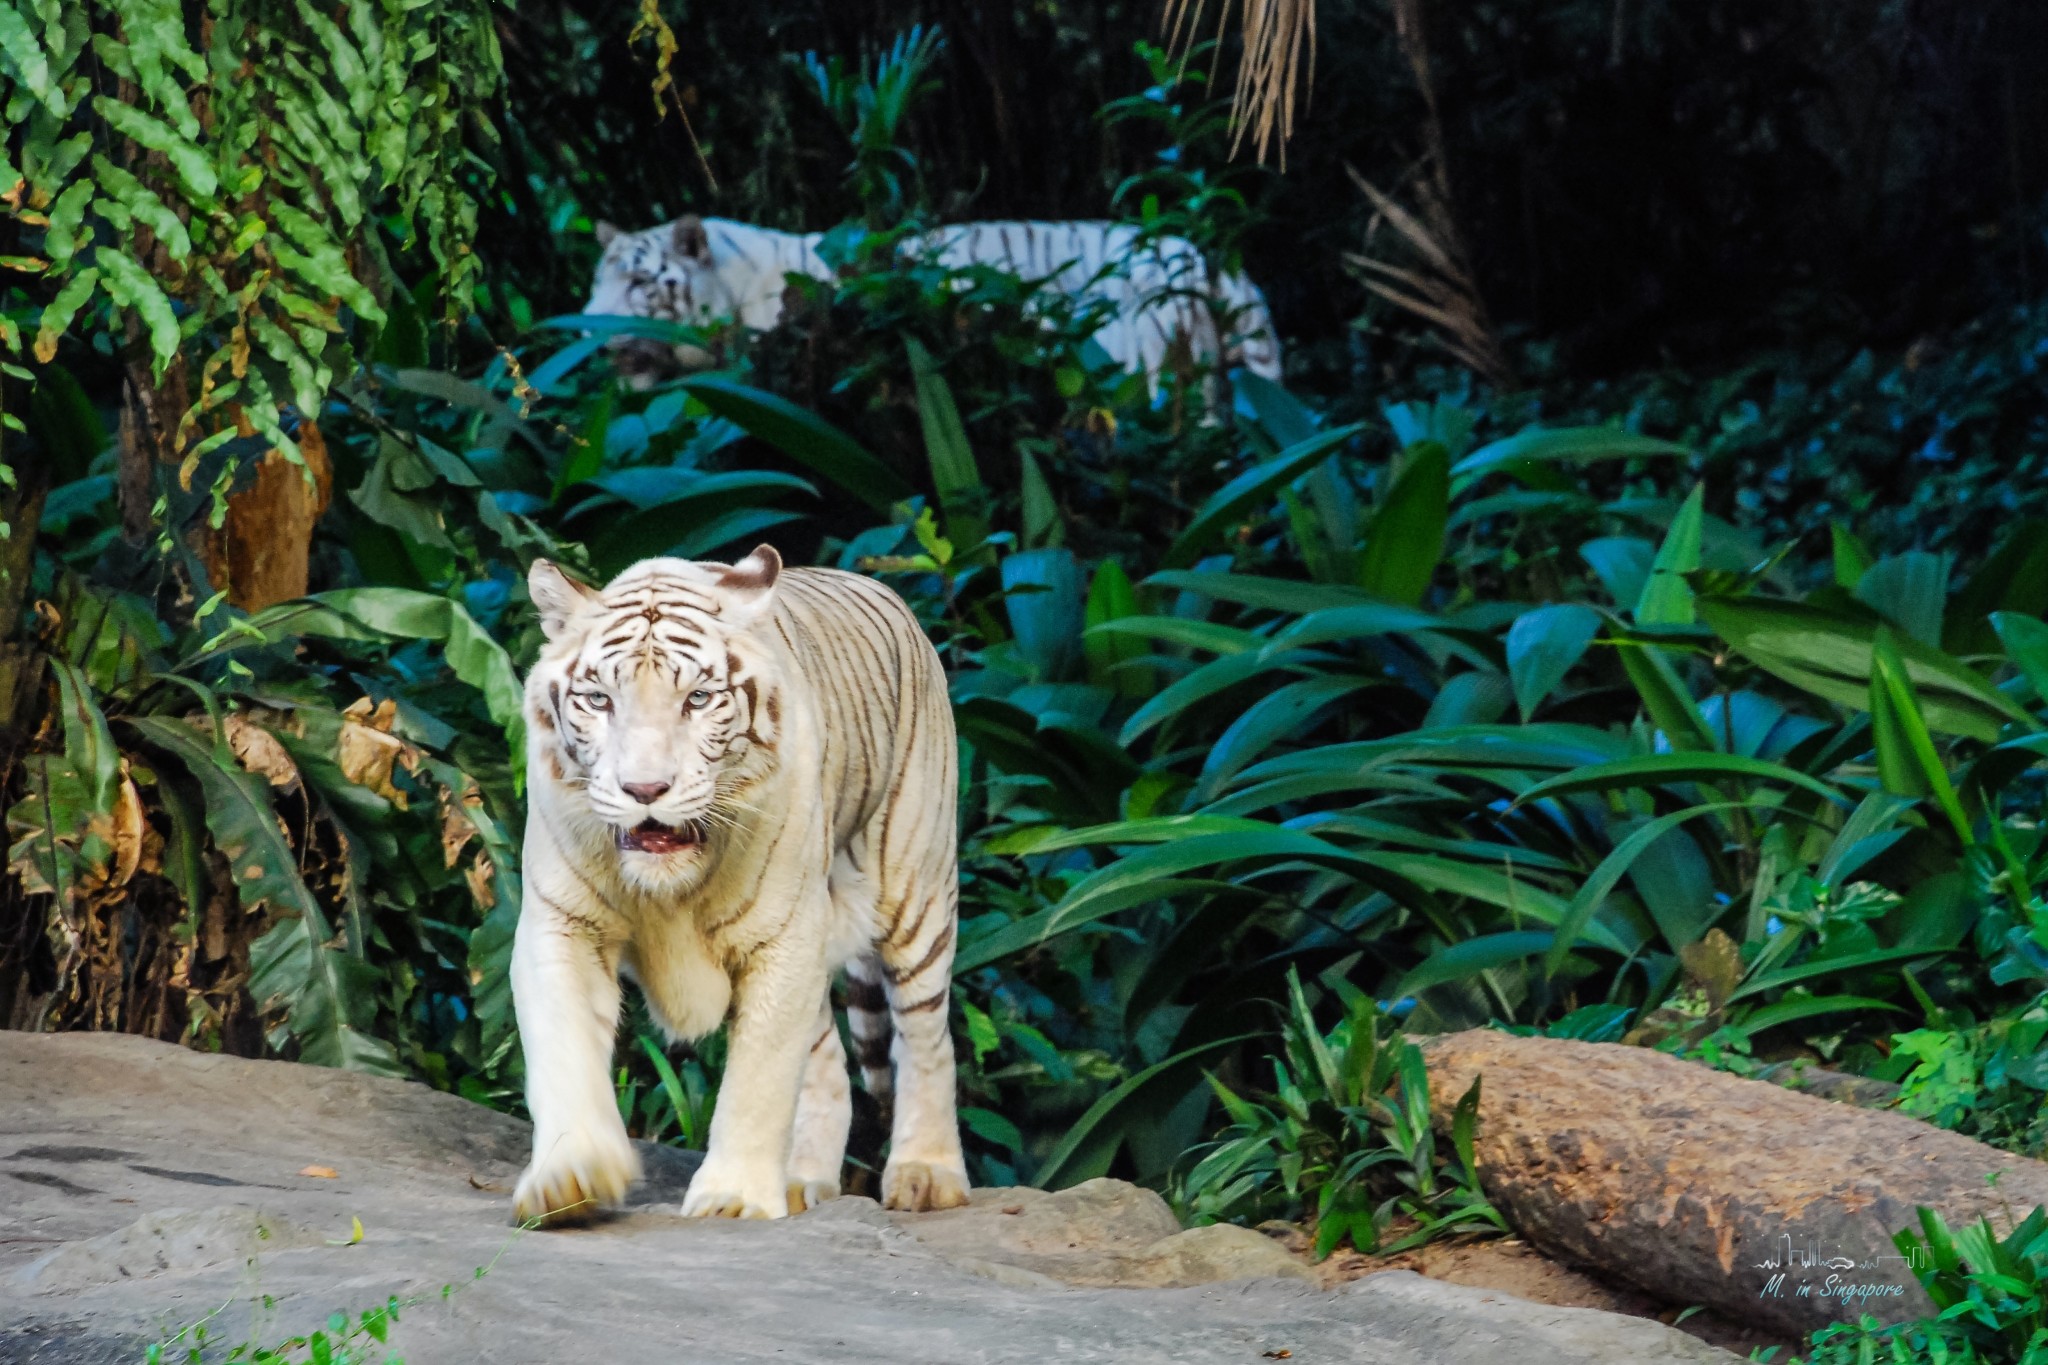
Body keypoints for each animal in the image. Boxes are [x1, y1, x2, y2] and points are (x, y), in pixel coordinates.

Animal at [507, 540, 962, 1219]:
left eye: (698, 699)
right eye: (599, 701)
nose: (644, 790)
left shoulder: (784, 937)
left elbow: (760, 1077)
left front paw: (734, 1197)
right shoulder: (563, 925)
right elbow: (563, 1055)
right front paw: (569, 1180)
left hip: (916, 894)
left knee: (927, 1037)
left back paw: (927, 1174)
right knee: (827, 1056)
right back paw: (801, 1178)